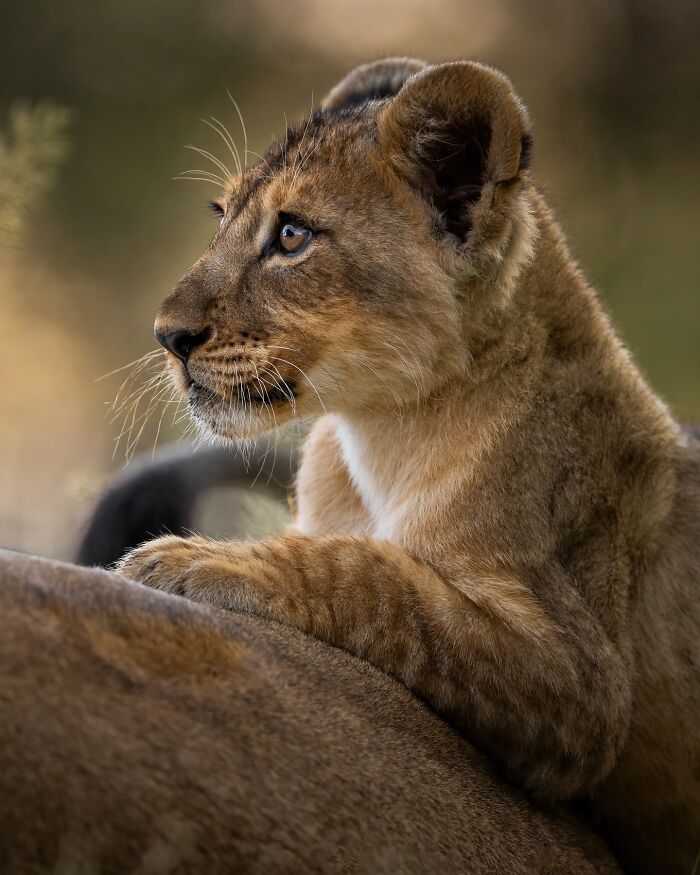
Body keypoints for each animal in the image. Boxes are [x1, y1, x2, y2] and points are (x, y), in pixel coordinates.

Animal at [116, 59, 700, 874]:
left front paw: (193, 559)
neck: (379, 431)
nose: (166, 335)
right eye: (221, 216)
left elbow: (376, 578)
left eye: (291, 235)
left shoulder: (583, 686)